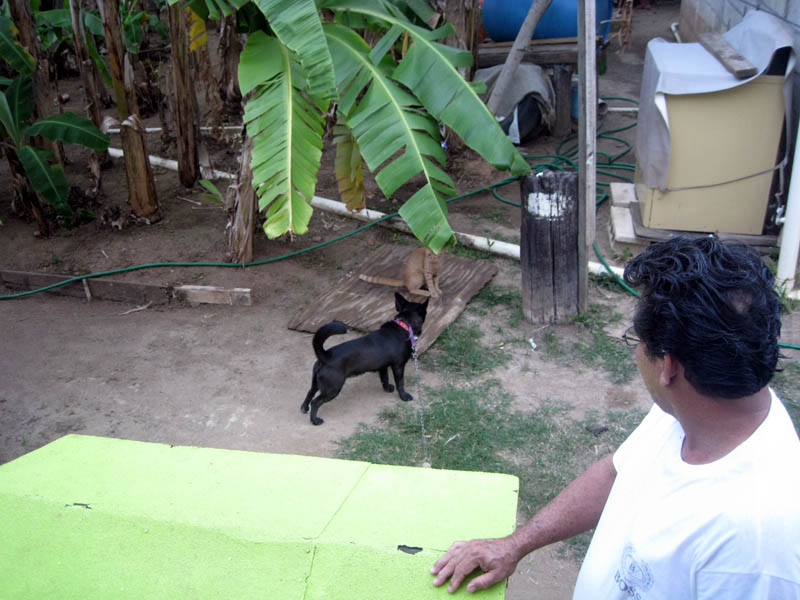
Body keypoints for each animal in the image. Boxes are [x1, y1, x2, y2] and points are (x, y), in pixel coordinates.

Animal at [300, 292, 428, 424]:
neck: (404, 325)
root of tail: (326, 355)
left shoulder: (383, 366)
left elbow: (384, 378)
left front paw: (387, 388)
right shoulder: (398, 366)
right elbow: (400, 383)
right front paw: (404, 396)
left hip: (316, 383)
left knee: (310, 392)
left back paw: (304, 408)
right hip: (332, 388)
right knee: (315, 402)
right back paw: (315, 420)